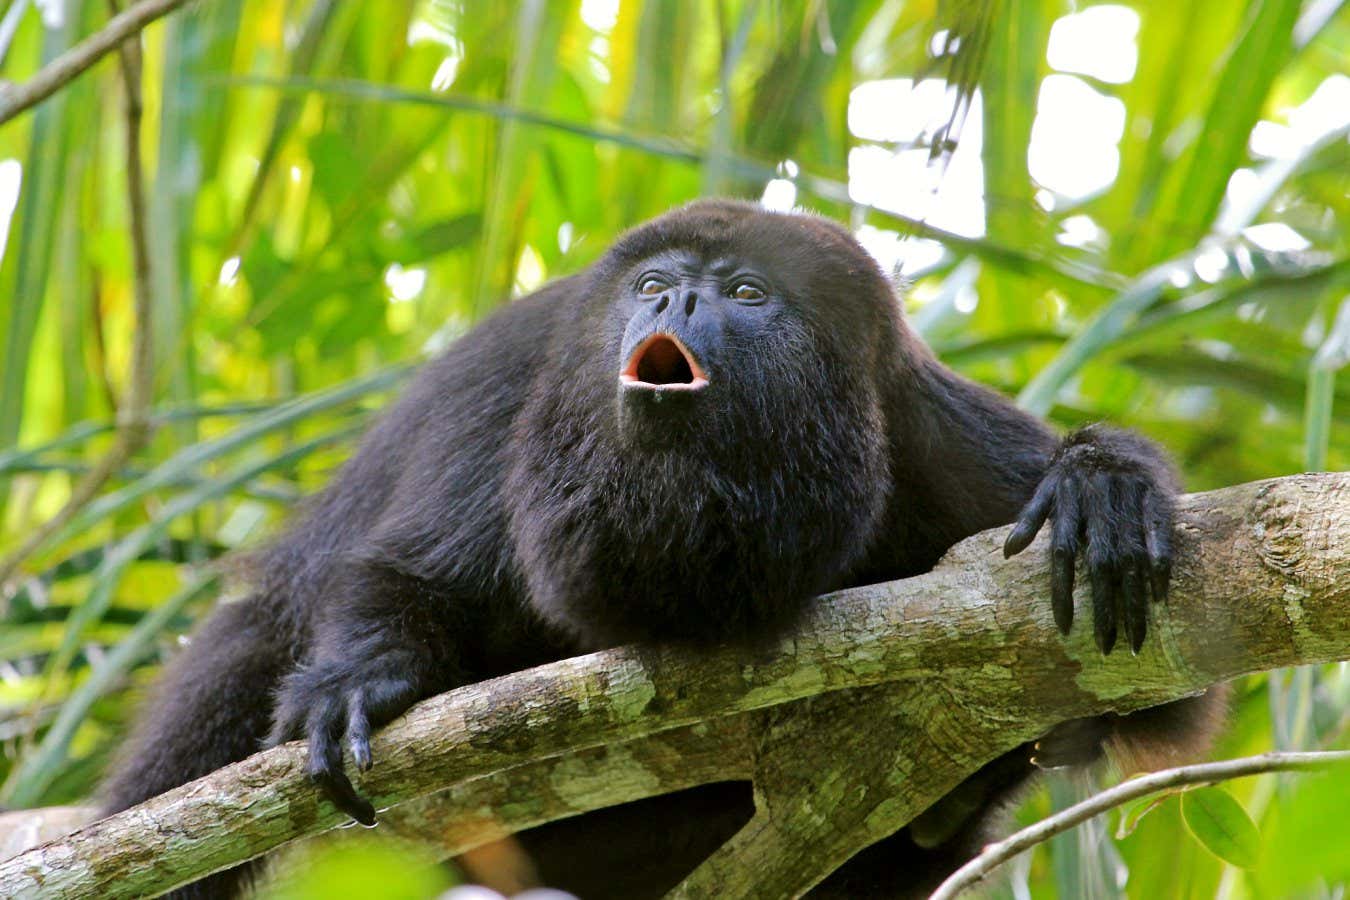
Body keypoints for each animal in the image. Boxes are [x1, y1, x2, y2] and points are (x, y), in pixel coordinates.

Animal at [99, 199, 1223, 898]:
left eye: (749, 293)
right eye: (653, 283)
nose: (677, 300)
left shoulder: (927, 430)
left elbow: (1160, 696)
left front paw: (1100, 485)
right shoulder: (521, 380)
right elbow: (409, 573)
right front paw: (355, 680)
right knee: (237, 664)